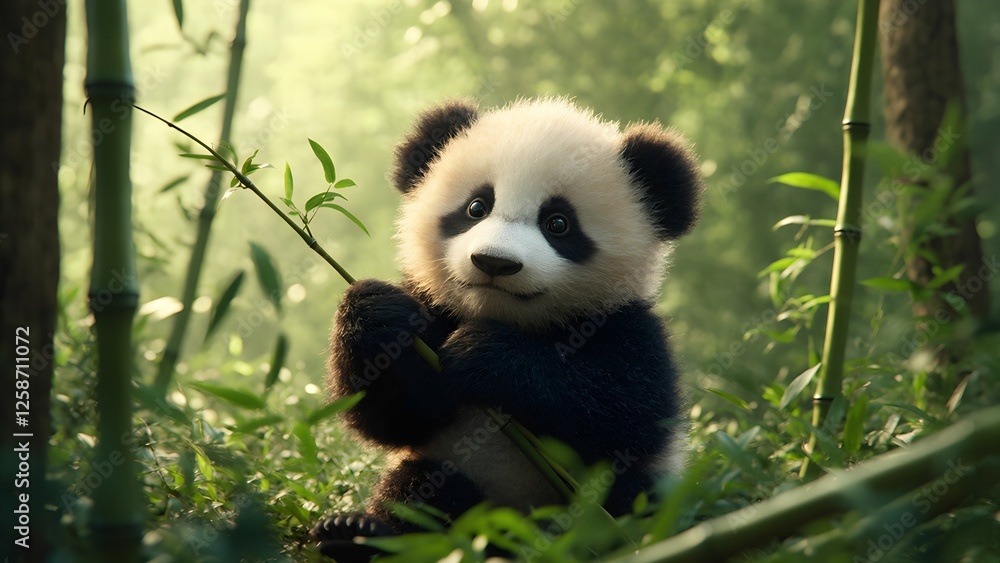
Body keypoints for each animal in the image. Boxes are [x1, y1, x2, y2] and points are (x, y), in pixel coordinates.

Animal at [312, 98, 703, 559]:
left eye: (558, 223)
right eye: (477, 207)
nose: (494, 262)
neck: (502, 315)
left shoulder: (629, 329)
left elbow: (621, 416)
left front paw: (486, 354)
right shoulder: (435, 310)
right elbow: (396, 415)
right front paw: (377, 315)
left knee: (624, 503)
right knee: (422, 490)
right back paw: (356, 535)